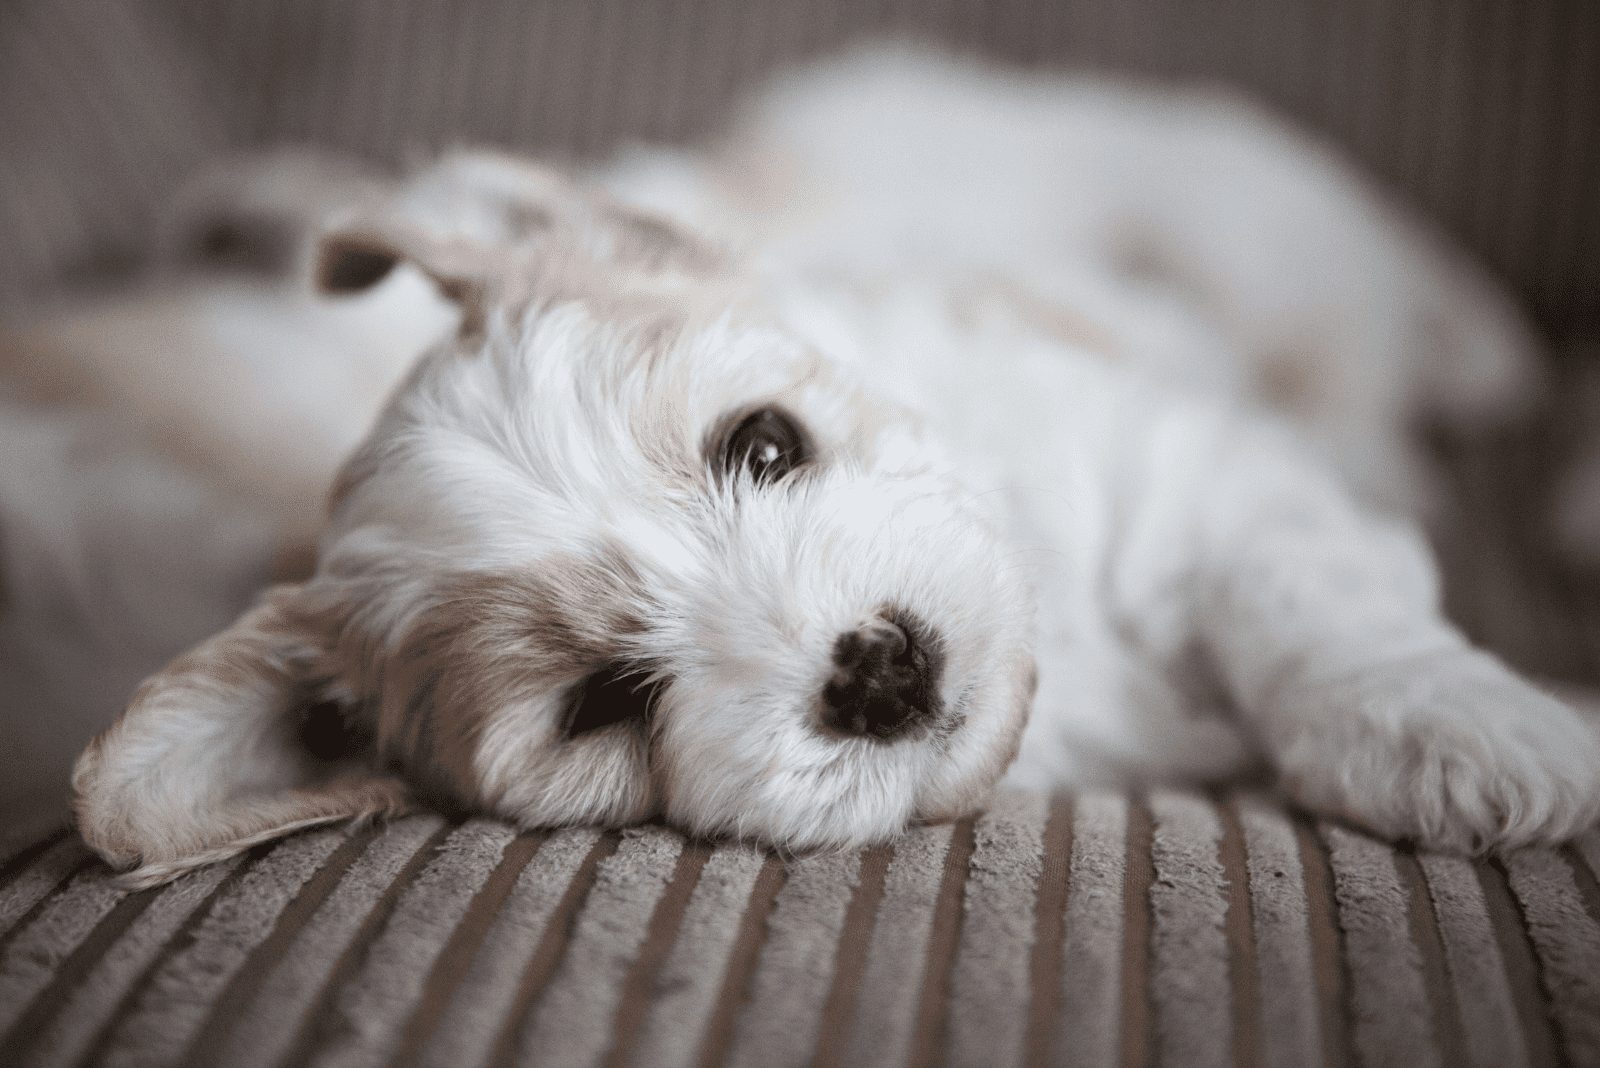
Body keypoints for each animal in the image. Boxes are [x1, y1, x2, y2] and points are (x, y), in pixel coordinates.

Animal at [62, 49, 1600, 882]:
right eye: (601, 703)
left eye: (765, 443)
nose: (877, 667)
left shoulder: (1179, 456)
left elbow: (1306, 594)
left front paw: (1465, 730)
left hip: (1221, 217)